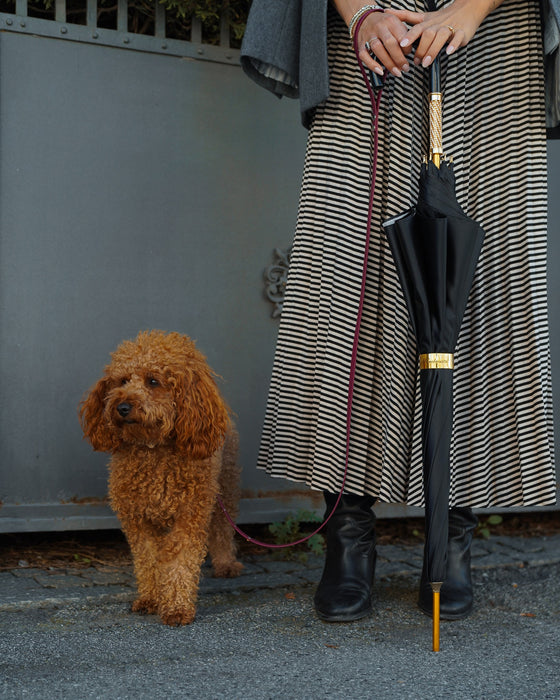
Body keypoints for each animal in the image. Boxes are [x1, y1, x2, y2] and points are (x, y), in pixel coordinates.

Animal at [79, 330, 243, 628]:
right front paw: (151, 599)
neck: (152, 449)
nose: (122, 406)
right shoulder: (138, 520)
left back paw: (226, 563)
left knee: (223, 529)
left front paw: (177, 608)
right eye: (122, 380)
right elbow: (148, 561)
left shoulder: (189, 516)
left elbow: (179, 562)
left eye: (153, 381)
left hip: (226, 486)